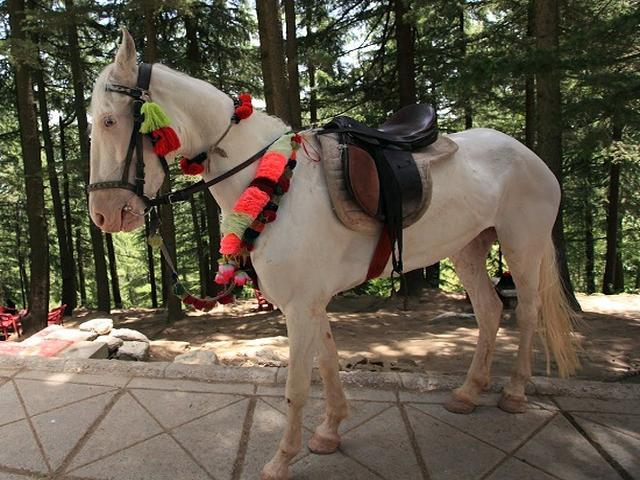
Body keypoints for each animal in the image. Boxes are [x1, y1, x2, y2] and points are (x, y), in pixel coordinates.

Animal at [88, 30, 579, 480]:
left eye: (109, 122)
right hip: (468, 249)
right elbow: (326, 365)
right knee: (491, 310)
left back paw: (513, 392)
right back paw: (469, 391)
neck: (273, 180)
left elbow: (298, 387)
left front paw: (281, 460)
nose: (103, 214)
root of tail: (527, 153)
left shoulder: (300, 305)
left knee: (527, 311)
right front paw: (329, 432)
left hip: (522, 244)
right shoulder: (310, 302)